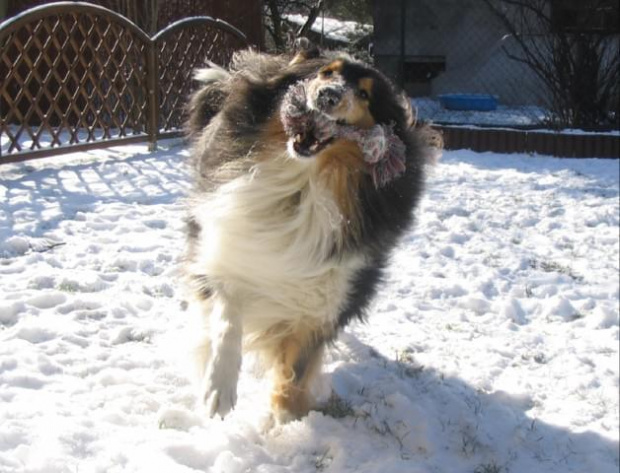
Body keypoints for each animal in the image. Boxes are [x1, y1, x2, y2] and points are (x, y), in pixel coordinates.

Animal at [184, 45, 436, 420]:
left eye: (365, 95)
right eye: (325, 73)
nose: (328, 96)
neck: (301, 185)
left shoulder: (323, 303)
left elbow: (296, 369)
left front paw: (286, 419)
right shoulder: (224, 248)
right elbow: (227, 316)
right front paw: (219, 390)